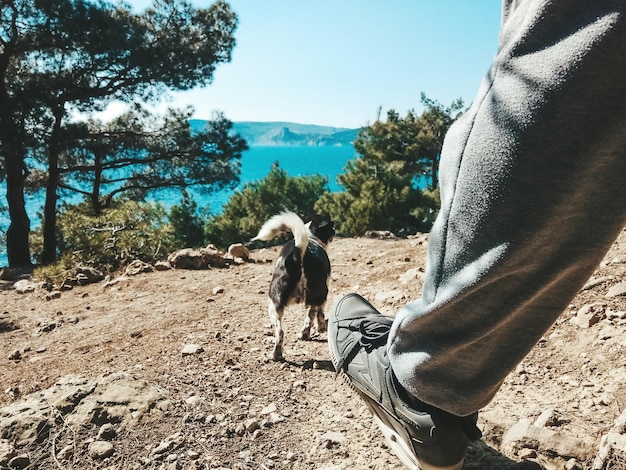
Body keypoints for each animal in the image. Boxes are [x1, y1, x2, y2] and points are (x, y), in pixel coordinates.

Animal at [251, 211, 334, 362]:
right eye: (331, 226)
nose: (335, 229)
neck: (311, 237)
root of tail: (298, 253)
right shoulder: (322, 296)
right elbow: (317, 314)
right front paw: (320, 328)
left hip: (274, 305)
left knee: (280, 332)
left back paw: (276, 355)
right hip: (320, 293)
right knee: (313, 315)